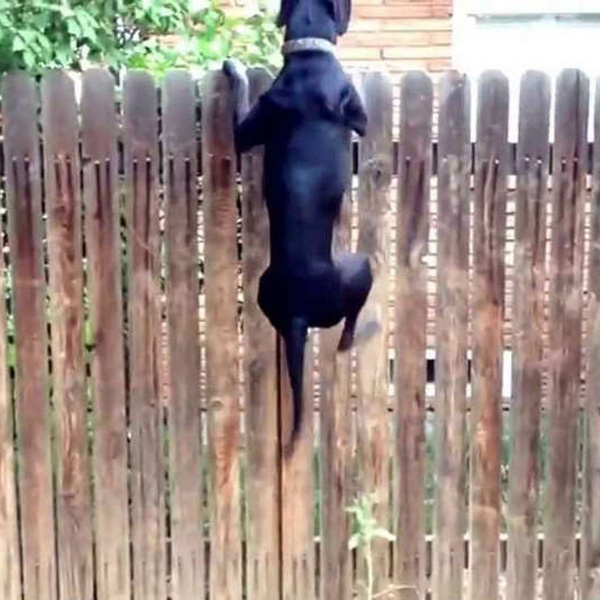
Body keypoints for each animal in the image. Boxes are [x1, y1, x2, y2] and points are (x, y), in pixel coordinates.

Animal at [225, 0, 376, 450]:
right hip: (360, 267)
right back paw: (350, 340)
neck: (309, 55)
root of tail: (297, 313)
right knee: (349, 325)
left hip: (264, 294)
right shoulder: (359, 117)